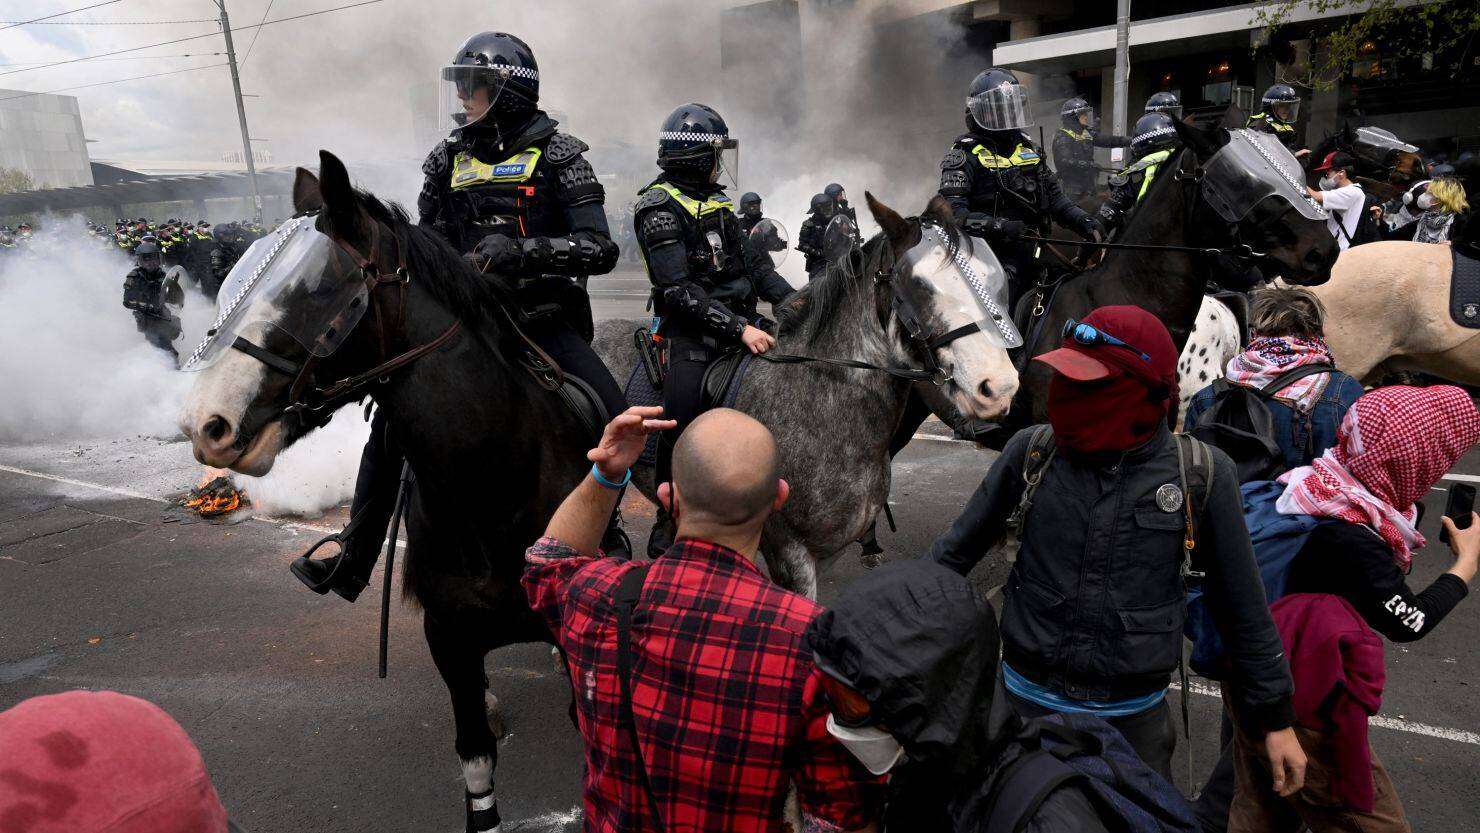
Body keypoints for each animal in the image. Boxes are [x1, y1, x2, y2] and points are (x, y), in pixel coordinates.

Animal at [592, 193, 1018, 600]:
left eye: (989, 276)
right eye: (919, 285)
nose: (999, 386)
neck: (822, 406)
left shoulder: (827, 553)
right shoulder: (789, 552)